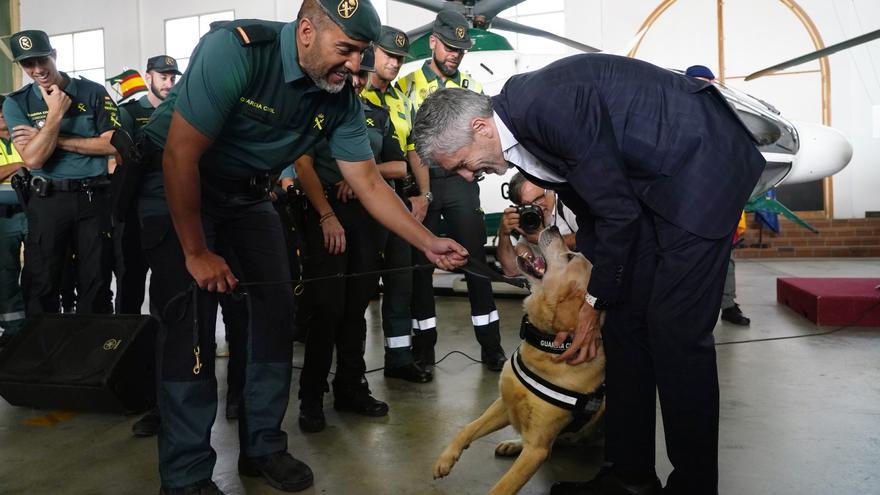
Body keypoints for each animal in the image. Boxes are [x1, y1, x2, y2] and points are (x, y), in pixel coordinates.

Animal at [434, 229, 604, 495]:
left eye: (569, 256)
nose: (554, 229)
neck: (546, 348)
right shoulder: (504, 403)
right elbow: (469, 428)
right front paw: (446, 458)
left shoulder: (537, 449)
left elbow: (502, 488)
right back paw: (512, 444)